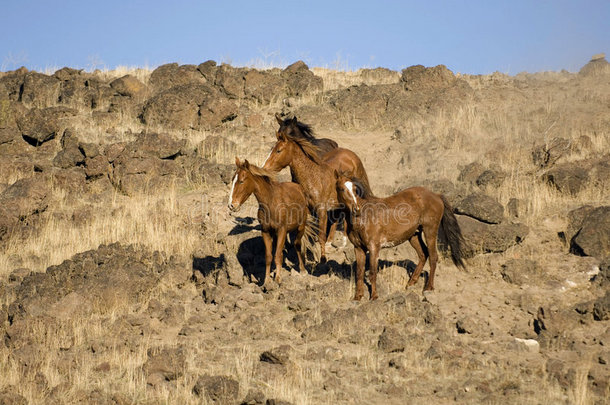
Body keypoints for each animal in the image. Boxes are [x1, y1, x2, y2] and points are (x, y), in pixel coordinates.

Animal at [262, 117, 368, 262]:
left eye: (278, 150)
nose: (265, 168)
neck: (312, 178)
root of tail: (350, 154)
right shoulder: (306, 211)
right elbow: (304, 235)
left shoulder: (321, 211)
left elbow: (320, 236)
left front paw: (322, 259)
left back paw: (343, 244)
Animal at [334, 171, 464, 300]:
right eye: (341, 189)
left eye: (355, 189)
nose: (356, 209)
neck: (363, 218)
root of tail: (436, 195)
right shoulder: (359, 248)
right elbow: (359, 273)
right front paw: (358, 297)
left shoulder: (374, 248)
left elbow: (372, 272)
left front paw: (374, 296)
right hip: (414, 236)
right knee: (423, 254)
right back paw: (411, 282)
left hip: (430, 232)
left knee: (433, 257)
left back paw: (428, 288)